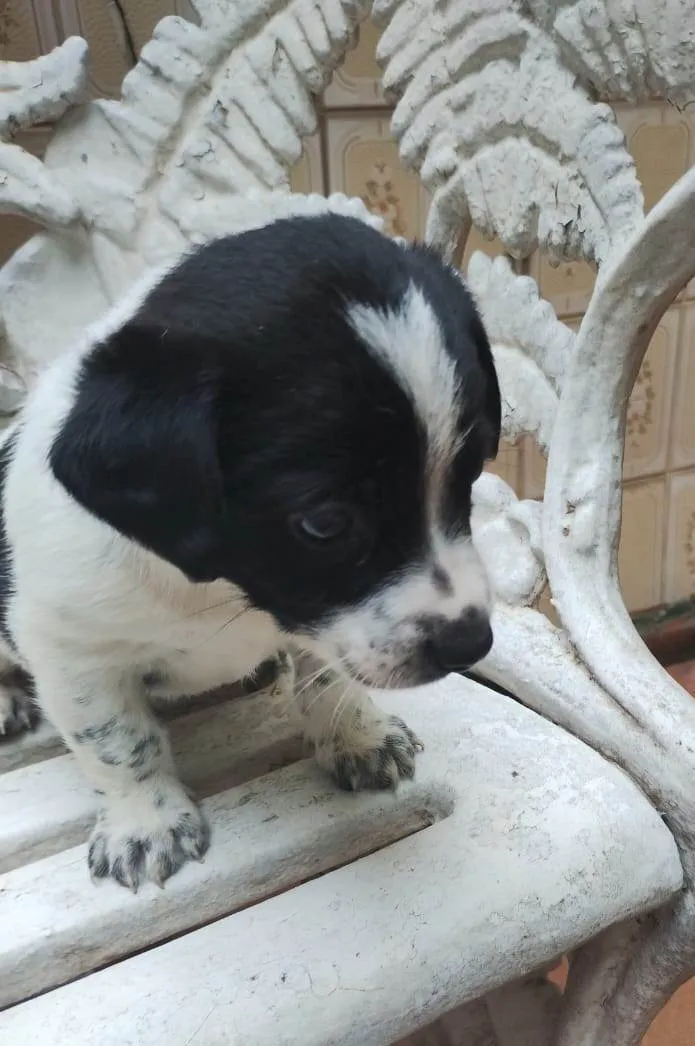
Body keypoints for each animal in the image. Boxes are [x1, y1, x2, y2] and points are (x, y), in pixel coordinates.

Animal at [0, 212, 500, 891]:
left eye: (469, 477)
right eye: (325, 522)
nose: (470, 645)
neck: (216, 589)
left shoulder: (319, 627)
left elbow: (326, 676)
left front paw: (356, 734)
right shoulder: (70, 650)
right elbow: (115, 740)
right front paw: (145, 821)